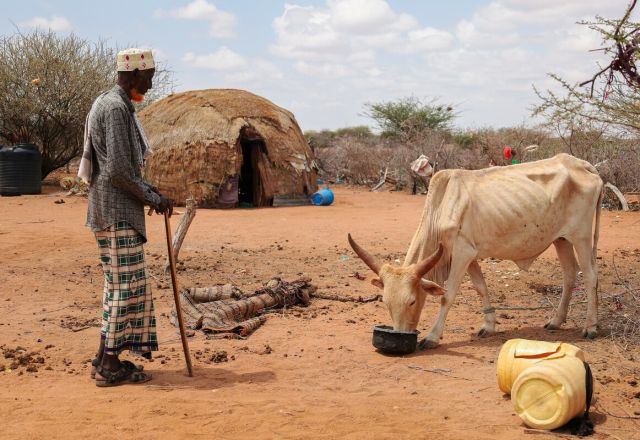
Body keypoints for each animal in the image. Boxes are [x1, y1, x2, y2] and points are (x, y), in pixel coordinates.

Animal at [350, 153, 604, 348]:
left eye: (412, 302)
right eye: (386, 303)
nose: (401, 335)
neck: (441, 207)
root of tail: (582, 164)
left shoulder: (462, 253)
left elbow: (448, 295)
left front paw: (432, 337)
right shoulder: (469, 255)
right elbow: (481, 287)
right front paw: (489, 326)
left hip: (581, 236)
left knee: (590, 275)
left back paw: (590, 327)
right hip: (561, 239)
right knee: (569, 275)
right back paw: (556, 321)